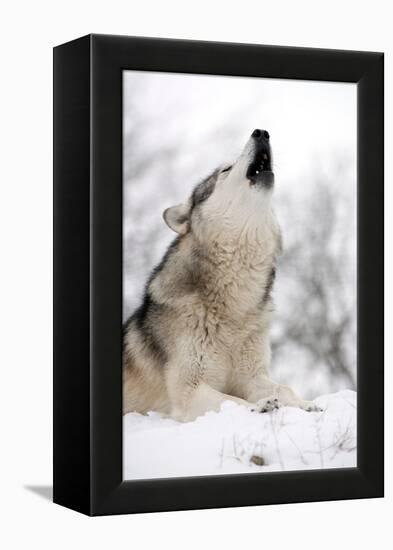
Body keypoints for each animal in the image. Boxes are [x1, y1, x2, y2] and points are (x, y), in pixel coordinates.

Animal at [123, 129, 322, 422]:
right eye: (225, 170)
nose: (261, 132)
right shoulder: (190, 391)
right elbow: (231, 400)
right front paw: (260, 406)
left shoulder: (252, 376)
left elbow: (284, 388)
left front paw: (306, 404)